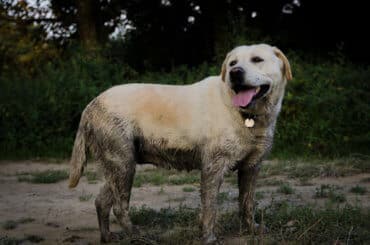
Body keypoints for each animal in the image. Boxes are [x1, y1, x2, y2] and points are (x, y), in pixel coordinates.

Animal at [67, 43, 292, 243]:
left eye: (257, 59)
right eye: (232, 63)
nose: (234, 73)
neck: (246, 115)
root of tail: (91, 105)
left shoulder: (252, 166)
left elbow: (247, 202)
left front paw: (251, 229)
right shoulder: (213, 166)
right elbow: (210, 207)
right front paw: (208, 238)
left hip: (117, 165)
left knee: (101, 202)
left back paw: (107, 237)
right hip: (123, 164)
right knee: (119, 207)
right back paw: (138, 236)